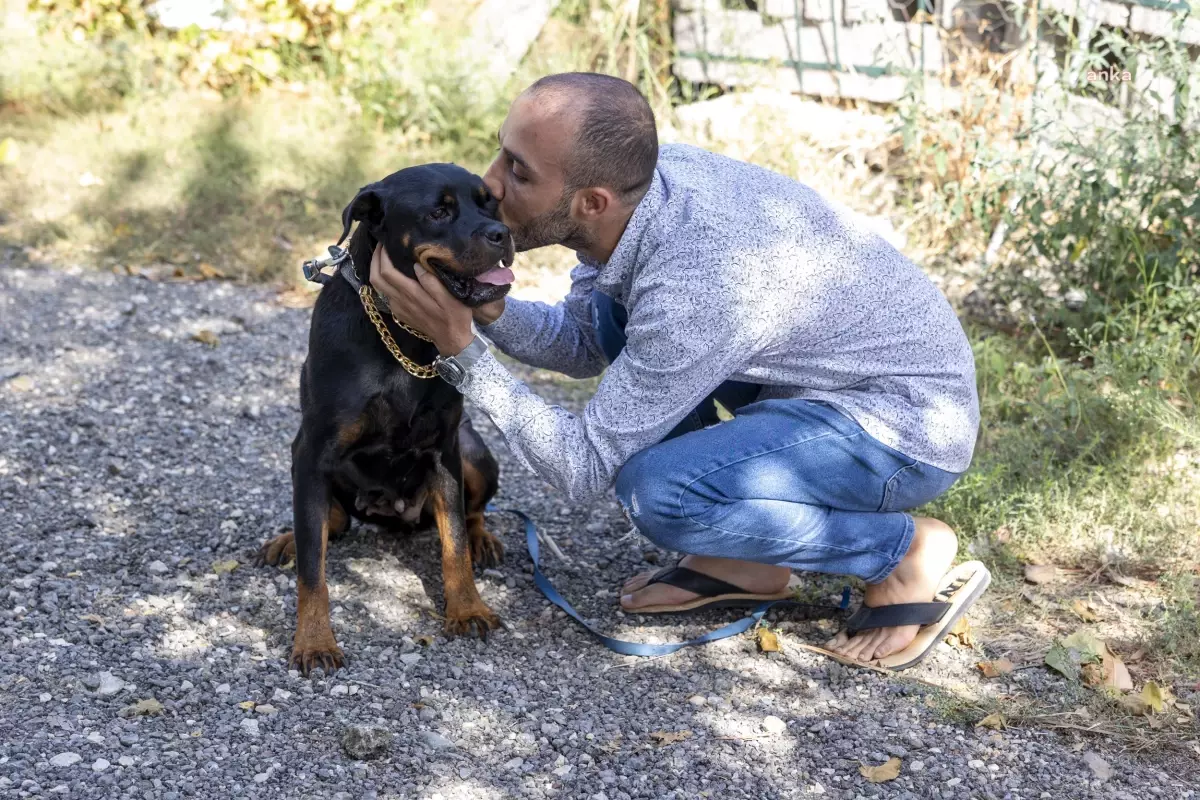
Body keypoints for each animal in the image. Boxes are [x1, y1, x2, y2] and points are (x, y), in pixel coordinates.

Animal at [253, 163, 516, 676]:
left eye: (490, 203)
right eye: (438, 212)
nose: (502, 232)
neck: (400, 333)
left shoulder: (444, 450)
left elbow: (454, 542)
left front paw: (467, 609)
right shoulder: (312, 452)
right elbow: (312, 571)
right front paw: (314, 641)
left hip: (474, 451)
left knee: (470, 513)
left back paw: (483, 538)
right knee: (328, 522)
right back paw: (290, 539)